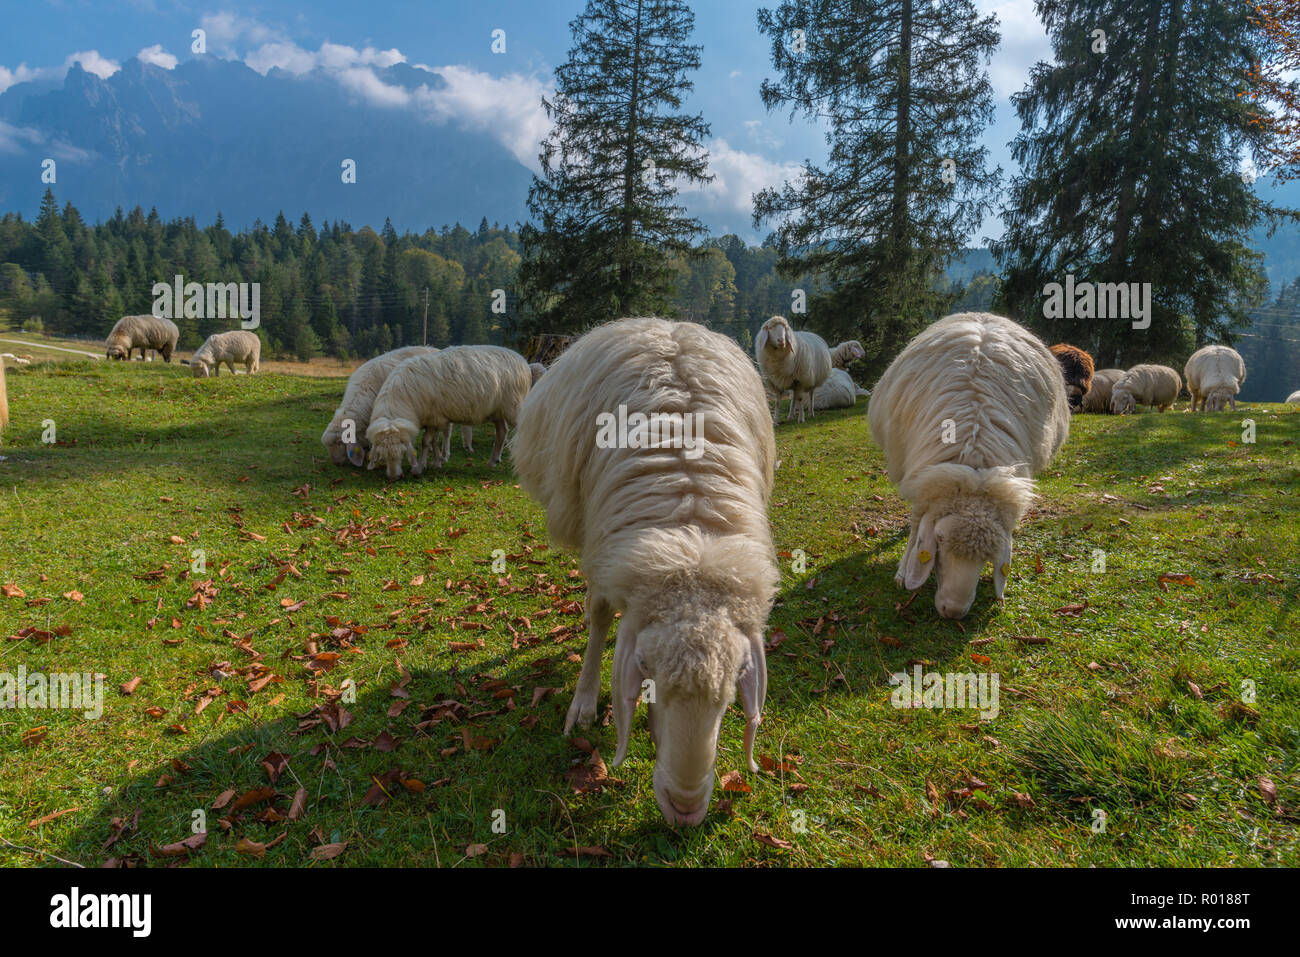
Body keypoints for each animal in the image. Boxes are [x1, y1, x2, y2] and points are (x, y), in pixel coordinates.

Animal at [364, 343, 530, 478]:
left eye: (403, 453)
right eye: (382, 456)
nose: (393, 477)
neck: (402, 399)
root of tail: (522, 360)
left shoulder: (434, 417)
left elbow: (426, 442)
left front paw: (419, 467)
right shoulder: (434, 418)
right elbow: (433, 442)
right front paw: (436, 462)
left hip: (514, 405)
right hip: (497, 410)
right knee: (502, 432)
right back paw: (492, 461)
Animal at [512, 317, 774, 826]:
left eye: (731, 696)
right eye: (646, 675)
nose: (685, 810)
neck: (689, 528)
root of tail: (661, 324)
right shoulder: (603, 545)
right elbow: (598, 618)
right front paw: (584, 702)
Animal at [868, 314, 1071, 621]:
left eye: (990, 555)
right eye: (939, 538)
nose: (953, 610)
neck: (974, 463)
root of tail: (983, 318)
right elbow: (916, 524)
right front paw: (904, 572)